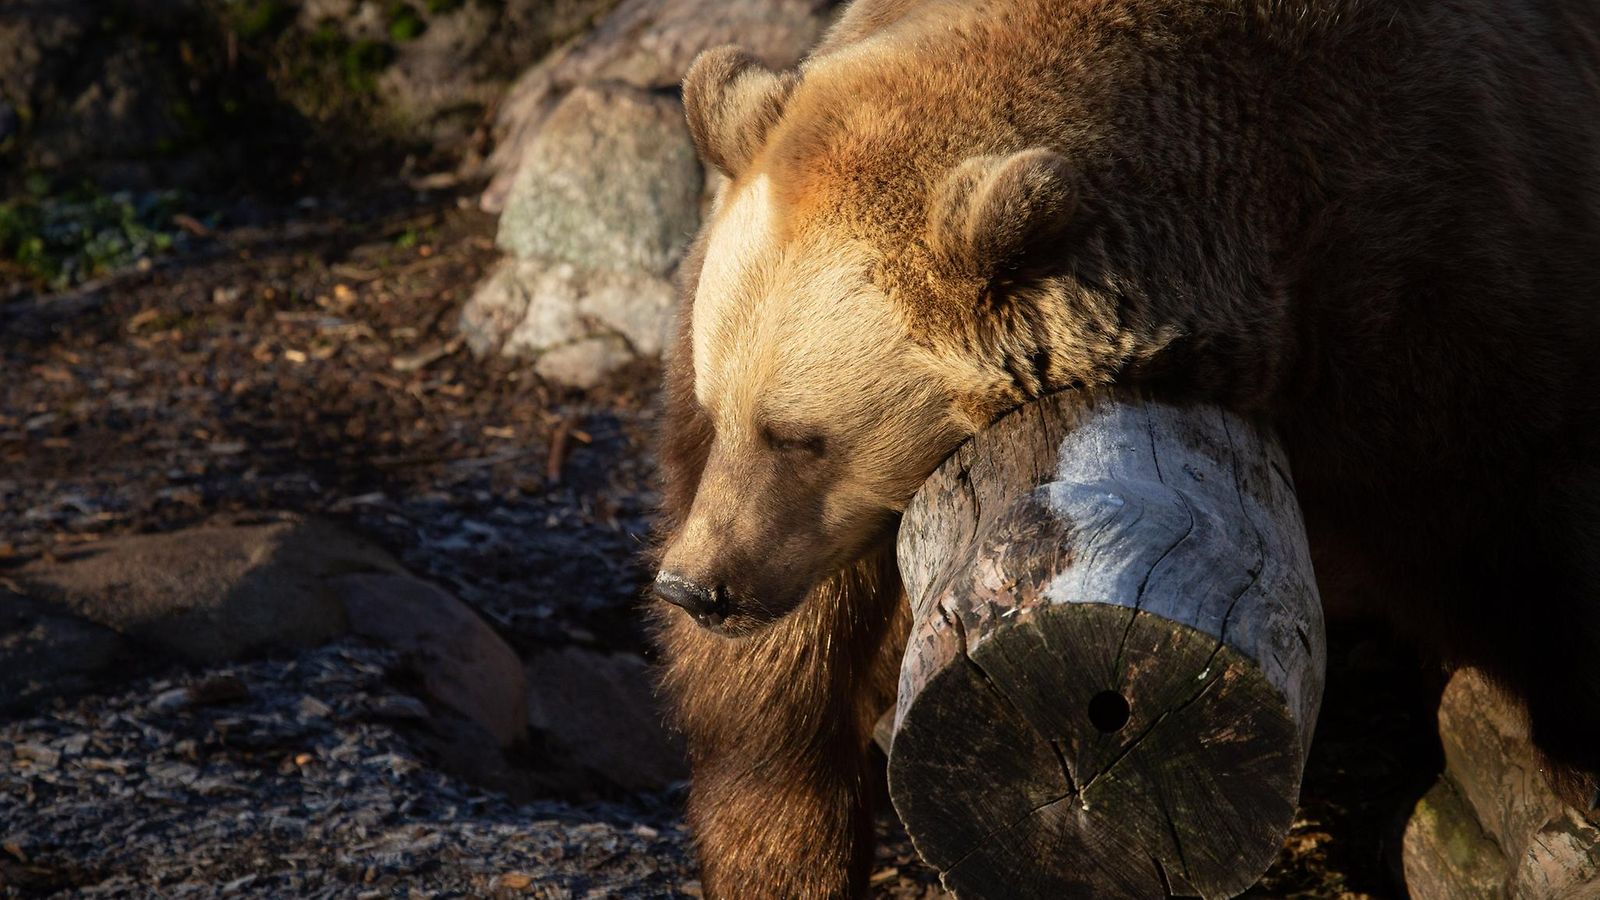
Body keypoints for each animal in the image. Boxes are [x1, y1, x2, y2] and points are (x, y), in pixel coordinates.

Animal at [643, 3, 1600, 890]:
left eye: (798, 436)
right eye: (720, 406)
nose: (697, 586)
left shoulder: (1445, 301)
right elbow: (777, 703)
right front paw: (781, 851)